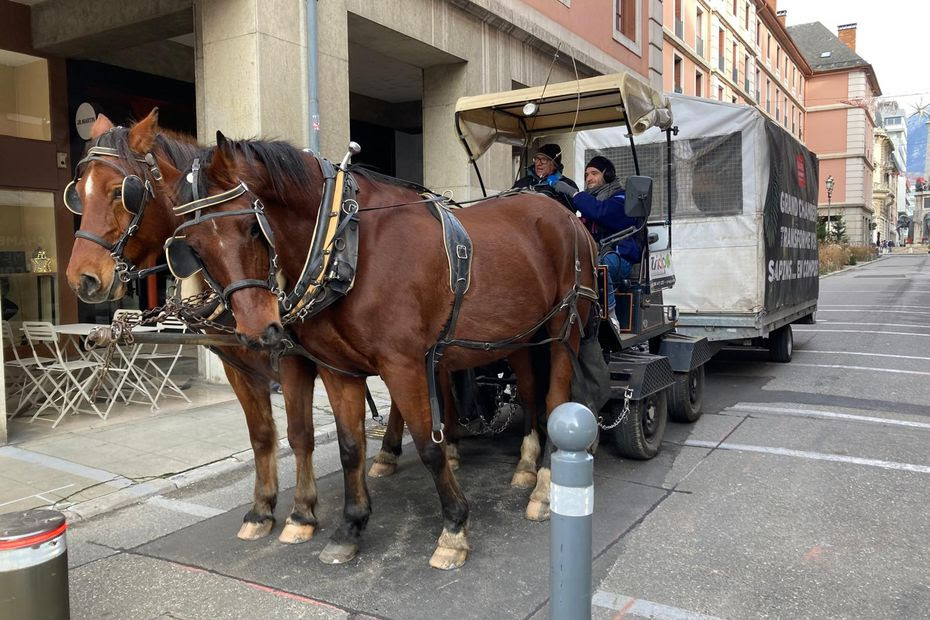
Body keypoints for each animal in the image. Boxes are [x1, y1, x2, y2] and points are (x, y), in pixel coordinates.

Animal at [159, 133, 596, 568]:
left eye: (253, 227)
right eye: (191, 246)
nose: (255, 332)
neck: (345, 244)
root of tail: (563, 214)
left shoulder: (403, 364)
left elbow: (429, 446)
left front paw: (454, 528)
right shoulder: (338, 369)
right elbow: (350, 447)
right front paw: (349, 527)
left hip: (565, 329)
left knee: (557, 400)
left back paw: (544, 488)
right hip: (519, 335)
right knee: (530, 390)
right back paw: (526, 465)